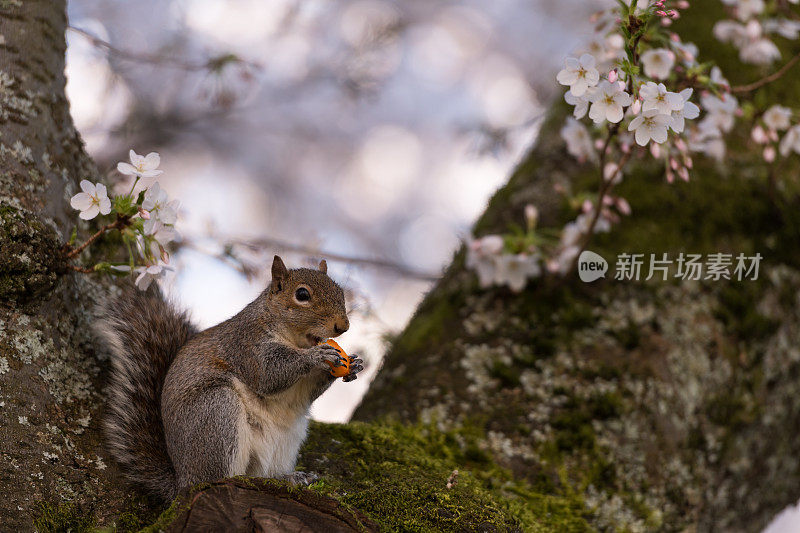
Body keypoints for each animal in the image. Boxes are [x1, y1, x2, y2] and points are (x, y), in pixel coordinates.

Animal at [94, 256, 366, 500]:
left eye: (340, 291)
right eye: (302, 295)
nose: (343, 326)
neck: (293, 339)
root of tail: (182, 483)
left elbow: (306, 391)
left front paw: (353, 365)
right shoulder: (246, 346)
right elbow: (269, 374)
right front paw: (316, 356)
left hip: (286, 439)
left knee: (260, 472)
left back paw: (288, 477)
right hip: (217, 413)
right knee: (219, 477)